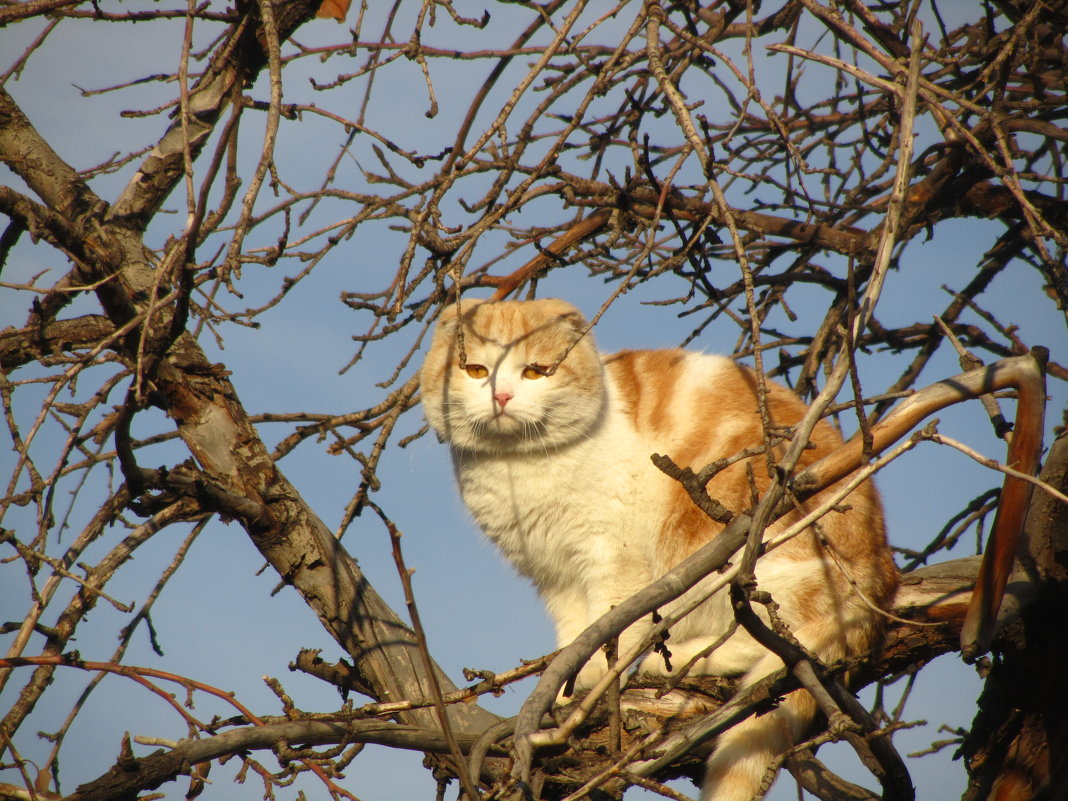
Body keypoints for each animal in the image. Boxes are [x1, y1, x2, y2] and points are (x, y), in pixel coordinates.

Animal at [420, 299, 897, 801]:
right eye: (475, 370)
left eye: (535, 371)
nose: (502, 397)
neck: (518, 466)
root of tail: (880, 575)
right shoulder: (555, 575)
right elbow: (574, 633)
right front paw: (566, 685)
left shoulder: (613, 557)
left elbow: (606, 625)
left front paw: (595, 675)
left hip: (731, 568)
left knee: (774, 637)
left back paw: (671, 660)